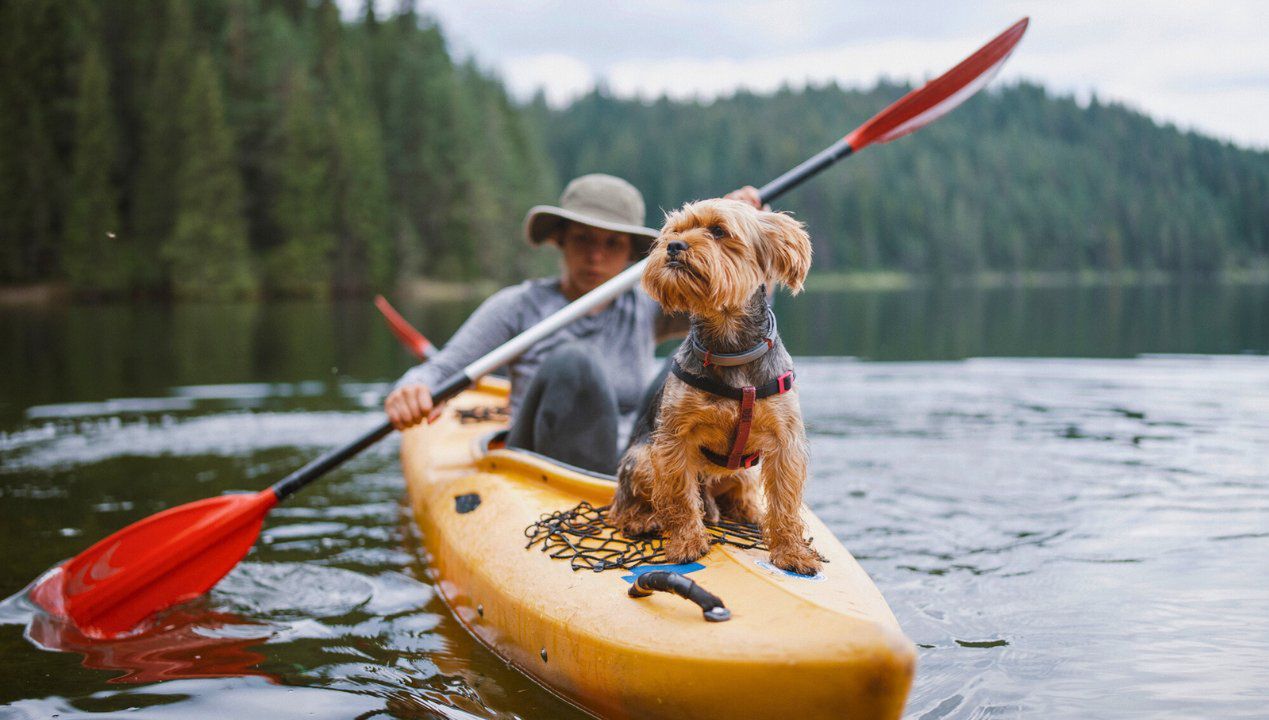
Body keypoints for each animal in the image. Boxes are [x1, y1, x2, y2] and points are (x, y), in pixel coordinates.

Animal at [614, 196, 822, 573]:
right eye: (675, 230)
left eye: (719, 230)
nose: (674, 246)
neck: (730, 347)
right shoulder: (673, 439)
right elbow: (680, 496)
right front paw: (686, 542)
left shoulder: (785, 441)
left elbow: (784, 501)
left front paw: (792, 551)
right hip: (642, 457)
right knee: (627, 503)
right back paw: (642, 519)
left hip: (741, 474)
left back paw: (750, 514)